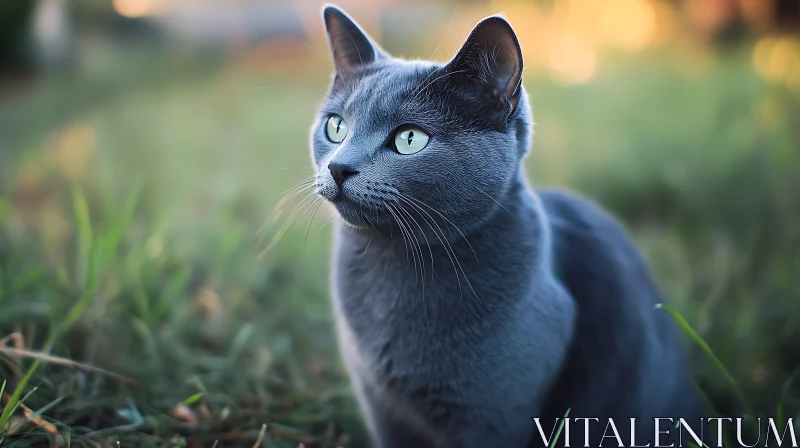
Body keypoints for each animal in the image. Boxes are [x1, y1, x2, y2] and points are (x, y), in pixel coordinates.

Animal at [310, 4, 704, 448]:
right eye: (336, 127)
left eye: (410, 139)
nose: (339, 167)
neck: (390, 264)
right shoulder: (380, 405)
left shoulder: (493, 416)